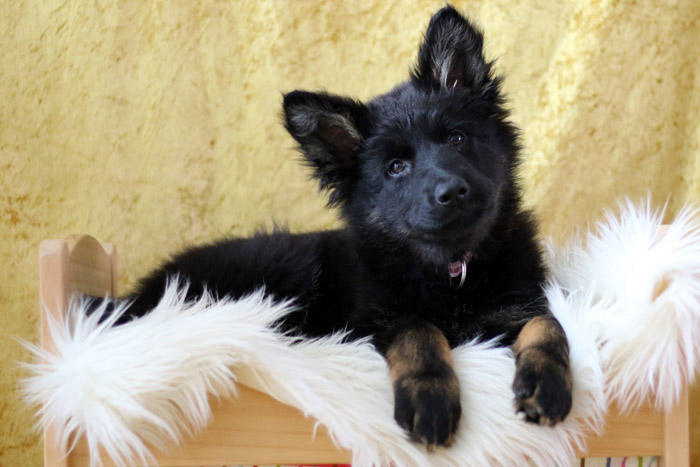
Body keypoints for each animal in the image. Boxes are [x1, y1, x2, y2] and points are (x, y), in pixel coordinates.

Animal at [110, 5, 572, 449]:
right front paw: (429, 400)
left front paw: (547, 383)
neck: (450, 269)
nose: (452, 192)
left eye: (457, 139)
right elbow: (420, 333)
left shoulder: (520, 304)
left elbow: (548, 327)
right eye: (396, 167)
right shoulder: (374, 322)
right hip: (286, 262)